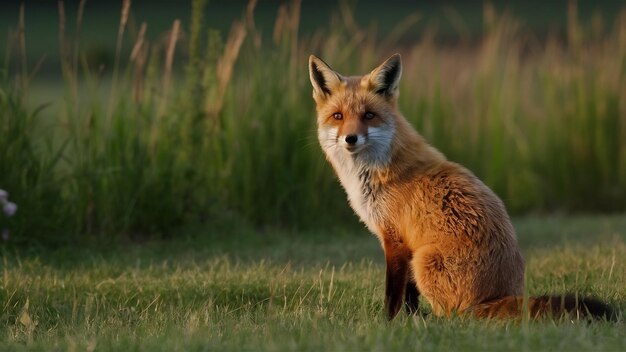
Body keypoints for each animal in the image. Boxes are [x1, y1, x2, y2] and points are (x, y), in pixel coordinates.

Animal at [308, 53, 616, 320]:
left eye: (369, 116)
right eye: (338, 116)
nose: (350, 139)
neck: (378, 171)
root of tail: (496, 296)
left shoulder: (397, 242)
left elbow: (393, 295)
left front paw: (389, 323)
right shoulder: (406, 245)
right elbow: (409, 298)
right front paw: (410, 320)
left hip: (424, 260)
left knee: (456, 317)